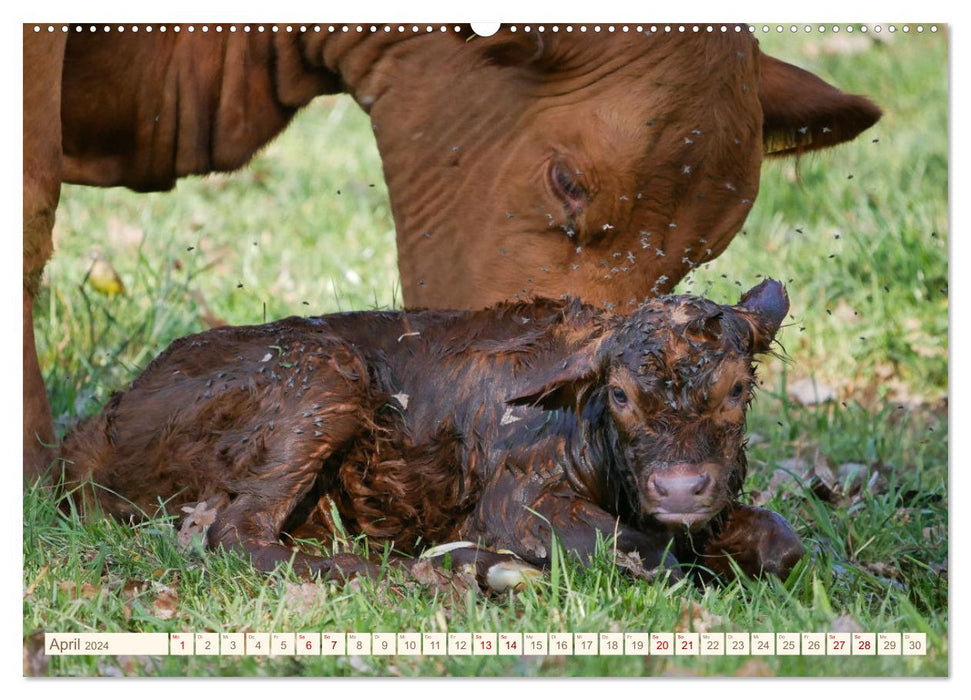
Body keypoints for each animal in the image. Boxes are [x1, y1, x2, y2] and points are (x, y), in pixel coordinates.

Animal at [58, 278, 804, 584]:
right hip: (323, 373)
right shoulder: (514, 502)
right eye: (619, 394)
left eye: (737, 390)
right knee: (235, 534)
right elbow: (640, 553)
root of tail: (95, 426)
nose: (679, 487)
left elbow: (783, 543)